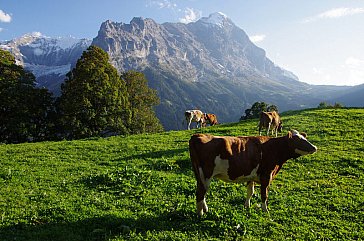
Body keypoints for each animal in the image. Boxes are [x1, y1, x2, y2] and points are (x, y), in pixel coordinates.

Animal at [189, 130, 318, 215]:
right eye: (299, 140)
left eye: (304, 138)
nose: (314, 147)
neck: (275, 148)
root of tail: (197, 136)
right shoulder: (266, 175)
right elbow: (264, 195)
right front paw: (265, 211)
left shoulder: (251, 176)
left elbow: (250, 192)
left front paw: (247, 206)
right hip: (205, 174)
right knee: (200, 193)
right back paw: (200, 214)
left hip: (200, 176)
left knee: (203, 192)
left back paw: (205, 209)